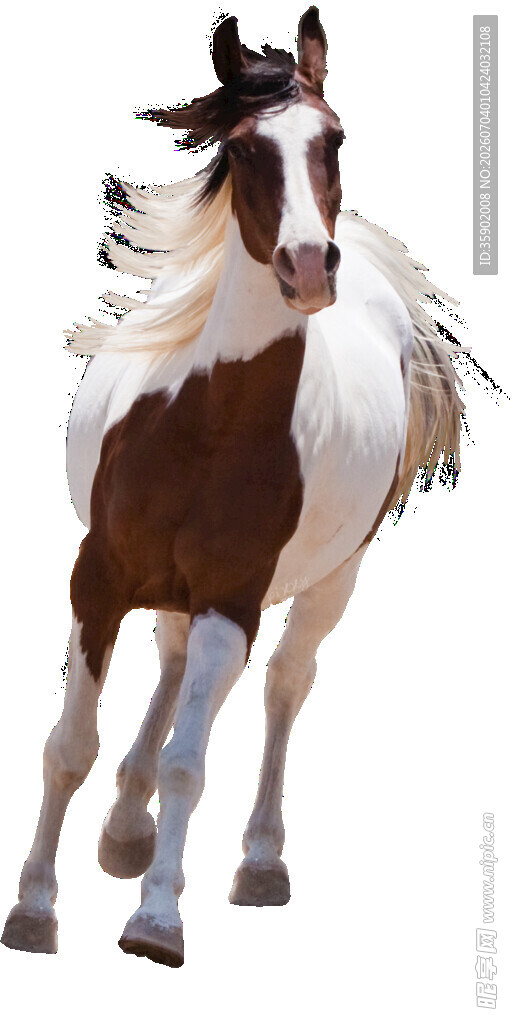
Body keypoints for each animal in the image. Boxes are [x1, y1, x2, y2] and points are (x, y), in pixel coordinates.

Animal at [1, 7, 466, 968]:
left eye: (333, 138)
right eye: (248, 148)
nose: (307, 267)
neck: (209, 426)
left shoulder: (232, 599)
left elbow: (191, 760)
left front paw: (155, 919)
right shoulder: (96, 581)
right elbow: (69, 746)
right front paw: (32, 908)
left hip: (329, 581)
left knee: (284, 683)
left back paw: (255, 859)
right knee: (172, 668)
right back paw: (125, 825)